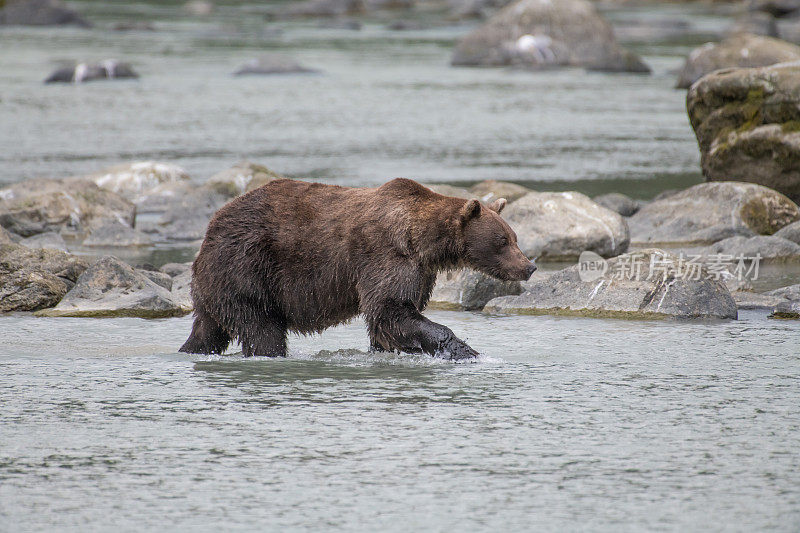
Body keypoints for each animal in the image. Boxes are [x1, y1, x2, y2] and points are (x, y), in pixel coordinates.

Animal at [178, 177, 536, 360]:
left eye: (514, 237)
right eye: (503, 240)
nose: (529, 266)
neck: (424, 241)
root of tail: (208, 235)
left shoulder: (420, 271)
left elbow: (393, 321)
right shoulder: (387, 256)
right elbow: (390, 308)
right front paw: (465, 349)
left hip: (220, 287)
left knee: (209, 330)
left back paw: (191, 350)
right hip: (246, 267)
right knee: (262, 330)